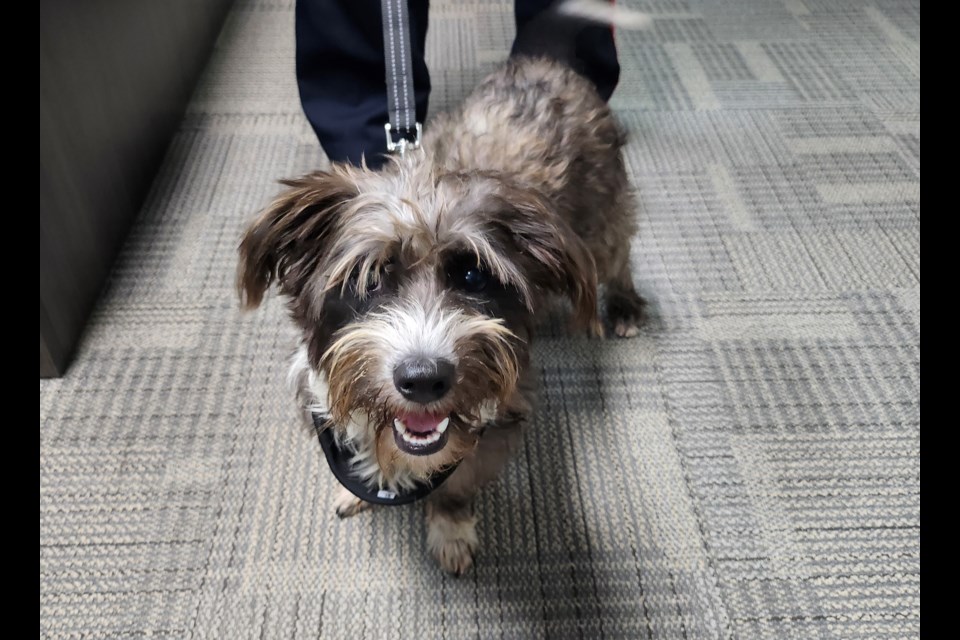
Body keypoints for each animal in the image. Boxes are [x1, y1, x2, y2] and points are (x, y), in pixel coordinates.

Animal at [236, 2, 648, 576]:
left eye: (473, 276)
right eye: (370, 278)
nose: (424, 379)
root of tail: (548, 64)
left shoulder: (494, 426)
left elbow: (455, 489)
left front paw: (450, 532)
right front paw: (356, 491)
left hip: (603, 218)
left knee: (620, 252)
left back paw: (626, 305)